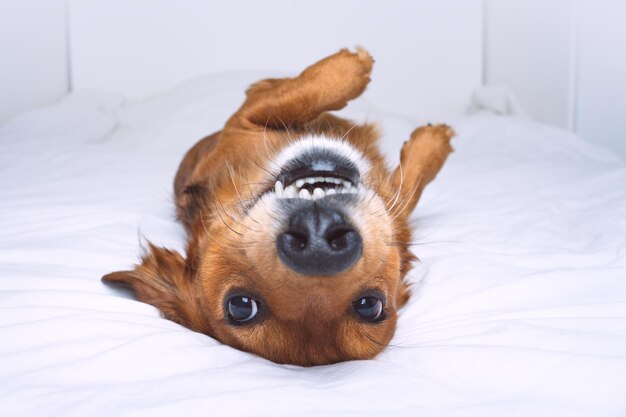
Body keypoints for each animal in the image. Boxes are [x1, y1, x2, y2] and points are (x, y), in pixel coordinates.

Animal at [103, 48, 454, 364]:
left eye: (369, 306)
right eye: (241, 306)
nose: (318, 244)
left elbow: (409, 187)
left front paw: (432, 145)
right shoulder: (243, 118)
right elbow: (289, 98)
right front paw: (351, 67)